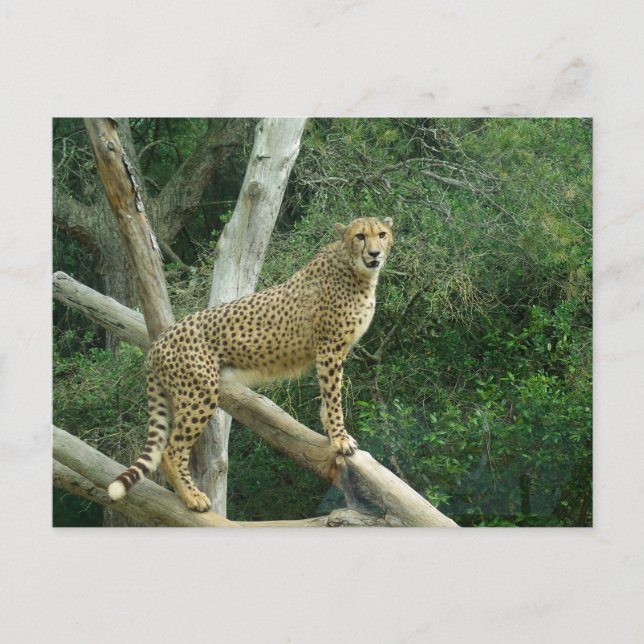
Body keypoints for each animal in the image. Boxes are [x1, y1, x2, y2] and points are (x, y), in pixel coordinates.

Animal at [107, 216, 394, 511]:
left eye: (382, 234)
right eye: (360, 236)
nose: (375, 254)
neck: (355, 269)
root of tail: (158, 341)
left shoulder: (334, 351)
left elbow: (328, 397)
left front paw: (330, 431)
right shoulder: (329, 349)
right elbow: (334, 396)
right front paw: (339, 439)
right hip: (200, 392)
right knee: (170, 452)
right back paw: (193, 497)